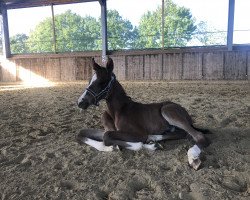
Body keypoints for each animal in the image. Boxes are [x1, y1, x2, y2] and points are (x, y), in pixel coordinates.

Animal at [76, 57, 211, 170]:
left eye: (102, 82)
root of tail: (183, 110)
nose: (80, 102)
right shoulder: (110, 130)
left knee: (198, 136)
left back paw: (193, 158)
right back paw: (154, 139)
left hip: (167, 111)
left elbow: (107, 137)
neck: (118, 111)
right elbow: (83, 133)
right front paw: (111, 147)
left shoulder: (138, 134)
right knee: (182, 133)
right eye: (89, 80)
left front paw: (145, 146)